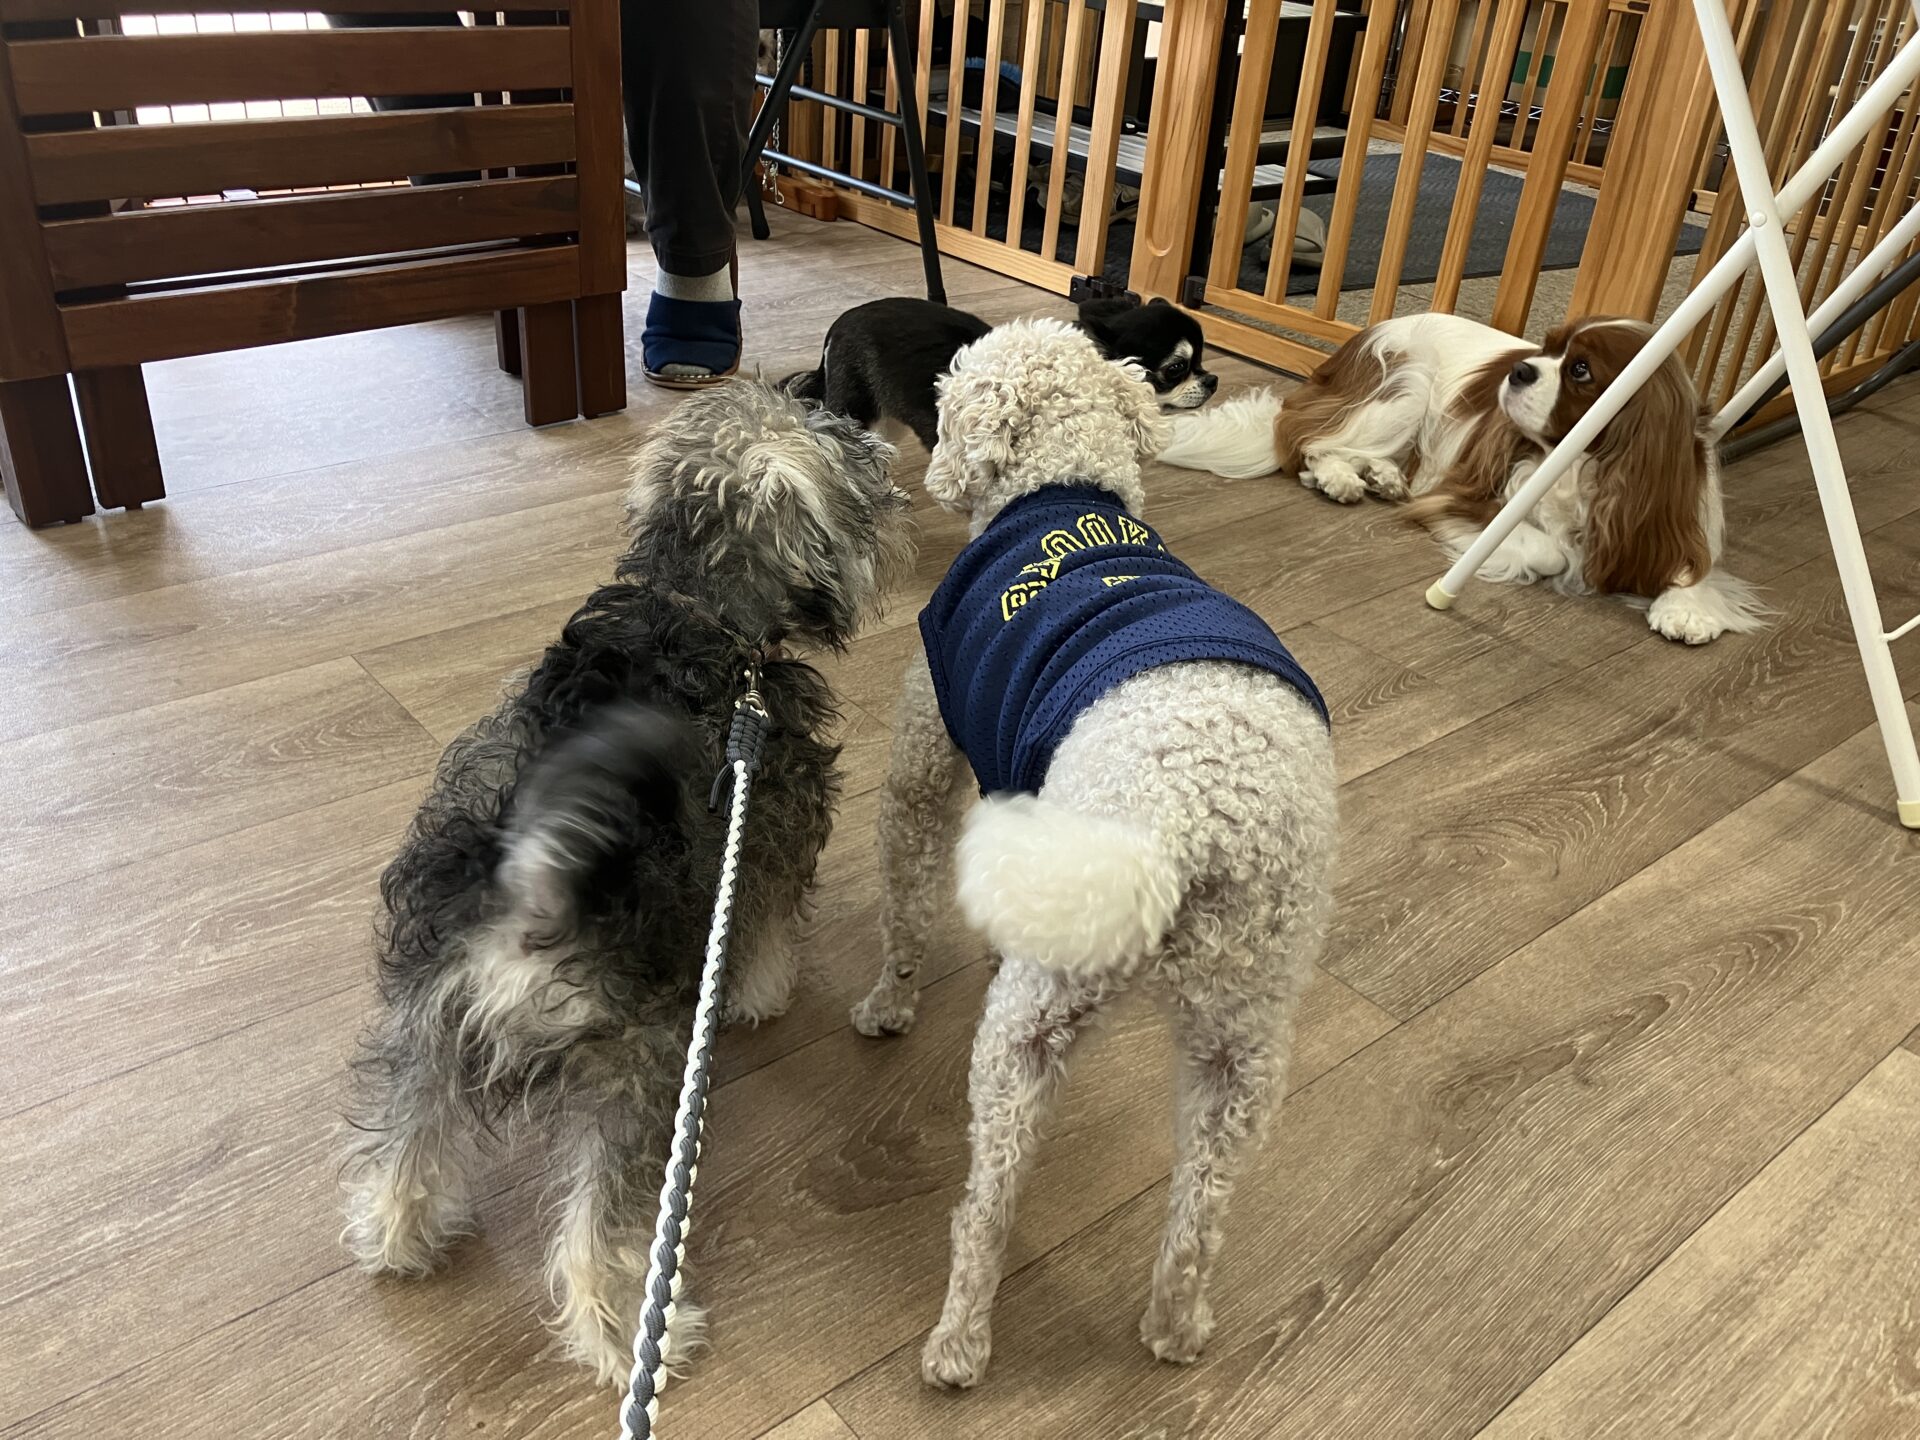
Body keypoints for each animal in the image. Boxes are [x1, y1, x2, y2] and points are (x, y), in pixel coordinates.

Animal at [340, 381, 913, 1387]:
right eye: (858, 473)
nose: (898, 483)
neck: (697, 606)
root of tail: (533, 894)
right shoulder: (775, 825)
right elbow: (765, 927)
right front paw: (760, 994)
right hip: (637, 1070)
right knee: (597, 1229)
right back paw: (638, 1334)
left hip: (427, 1015)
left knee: (408, 1132)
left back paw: (396, 1236)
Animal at [785, 293, 1217, 451]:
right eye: (1177, 369)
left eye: (1201, 360)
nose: (1213, 380)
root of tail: (839, 323)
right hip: (854, 408)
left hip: (884, 417)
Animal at [850, 319, 1337, 1387]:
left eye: (950, 403)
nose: (932, 466)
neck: (1063, 490)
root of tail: (1201, 828)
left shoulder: (927, 757)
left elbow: (905, 899)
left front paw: (886, 1007)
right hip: (1243, 1040)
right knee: (1200, 1211)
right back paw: (1176, 1327)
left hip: (1028, 1032)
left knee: (989, 1203)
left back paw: (958, 1343)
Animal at [1157, 312, 1768, 645]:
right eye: (1546, 348)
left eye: (1581, 370)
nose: (1520, 370)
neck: (1580, 468)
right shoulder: (1463, 502)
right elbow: (1549, 550)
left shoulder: (1665, 510)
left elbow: (1692, 565)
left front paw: (1687, 609)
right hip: (1404, 381)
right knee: (1307, 440)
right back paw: (1339, 478)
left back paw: (1382, 476)